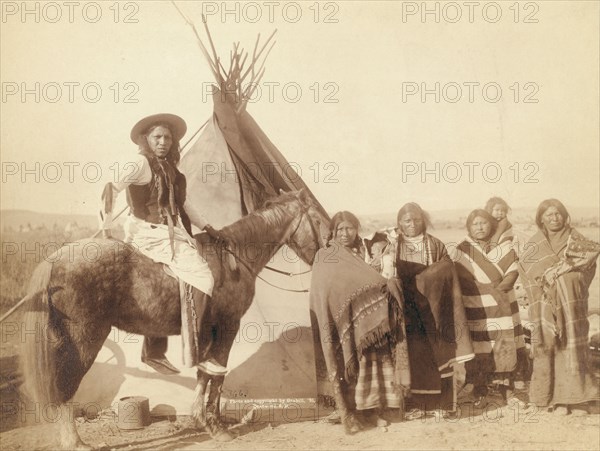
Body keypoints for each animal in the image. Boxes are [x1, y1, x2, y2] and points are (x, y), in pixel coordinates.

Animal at [19, 189, 328, 450]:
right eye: (317, 219)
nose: (327, 251)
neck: (234, 260)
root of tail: (56, 259)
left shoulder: (208, 332)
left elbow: (205, 374)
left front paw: (202, 419)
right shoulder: (227, 326)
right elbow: (218, 374)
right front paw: (216, 426)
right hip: (84, 340)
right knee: (66, 384)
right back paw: (75, 442)